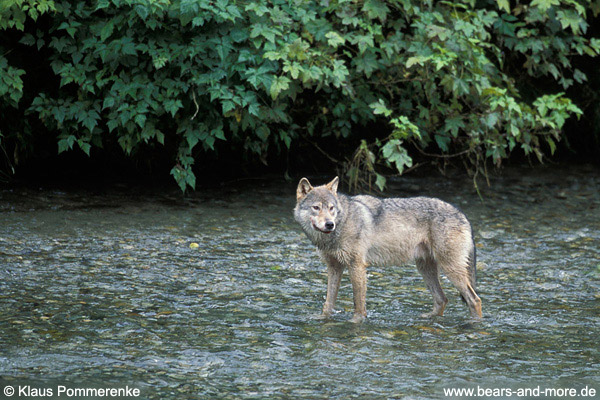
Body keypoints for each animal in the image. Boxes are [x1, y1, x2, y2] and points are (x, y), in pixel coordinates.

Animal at [292, 177, 480, 324]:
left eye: (331, 208)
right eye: (316, 207)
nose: (330, 224)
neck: (343, 221)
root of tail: (463, 215)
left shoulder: (357, 266)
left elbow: (358, 303)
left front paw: (355, 322)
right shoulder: (334, 268)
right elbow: (328, 303)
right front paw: (323, 319)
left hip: (450, 270)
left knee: (474, 300)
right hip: (425, 269)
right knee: (442, 299)